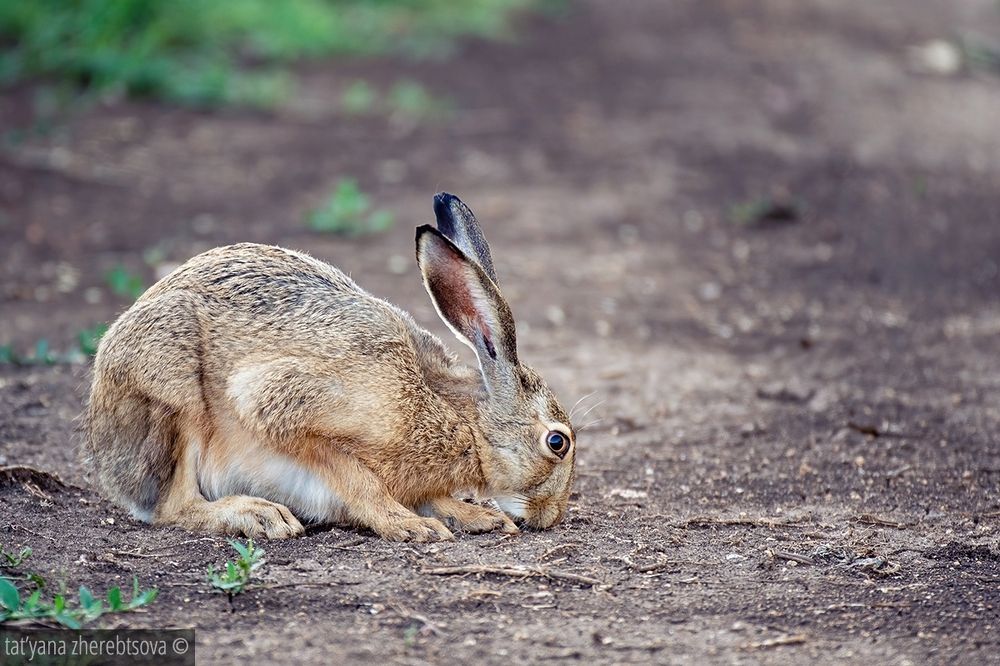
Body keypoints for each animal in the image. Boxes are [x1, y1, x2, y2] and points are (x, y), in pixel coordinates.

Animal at [83, 193, 576, 541]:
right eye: (558, 442)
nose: (552, 516)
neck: (464, 423)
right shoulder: (284, 407)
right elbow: (358, 479)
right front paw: (409, 526)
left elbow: (431, 496)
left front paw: (473, 516)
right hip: (174, 391)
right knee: (174, 506)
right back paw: (256, 515)